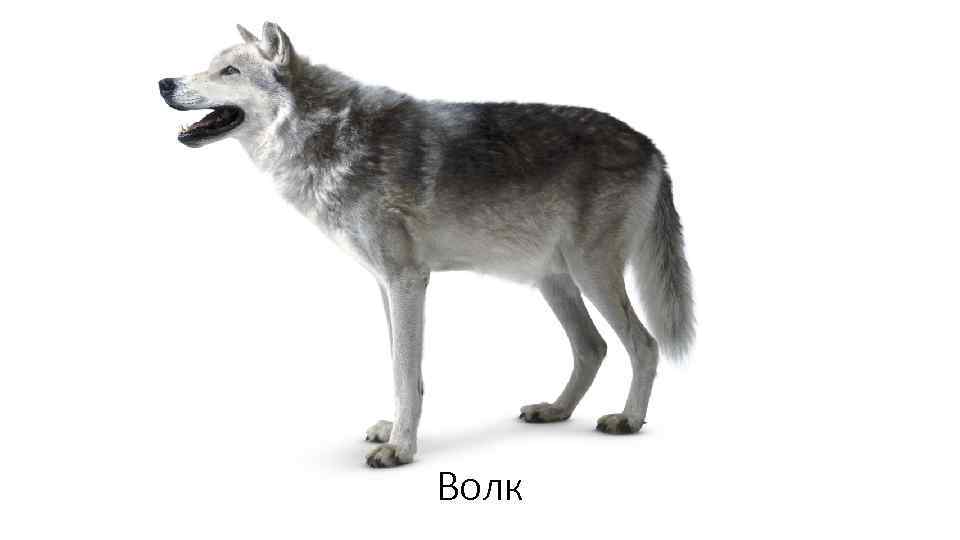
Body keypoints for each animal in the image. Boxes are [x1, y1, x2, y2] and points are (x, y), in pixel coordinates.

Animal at [159, 22, 694, 468]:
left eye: (228, 71)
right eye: (210, 65)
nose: (164, 83)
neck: (331, 135)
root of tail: (653, 147)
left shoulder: (408, 281)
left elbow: (404, 371)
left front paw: (401, 449)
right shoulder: (386, 285)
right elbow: (403, 371)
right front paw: (396, 432)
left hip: (591, 275)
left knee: (643, 345)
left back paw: (627, 420)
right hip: (554, 281)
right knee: (592, 347)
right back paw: (556, 410)